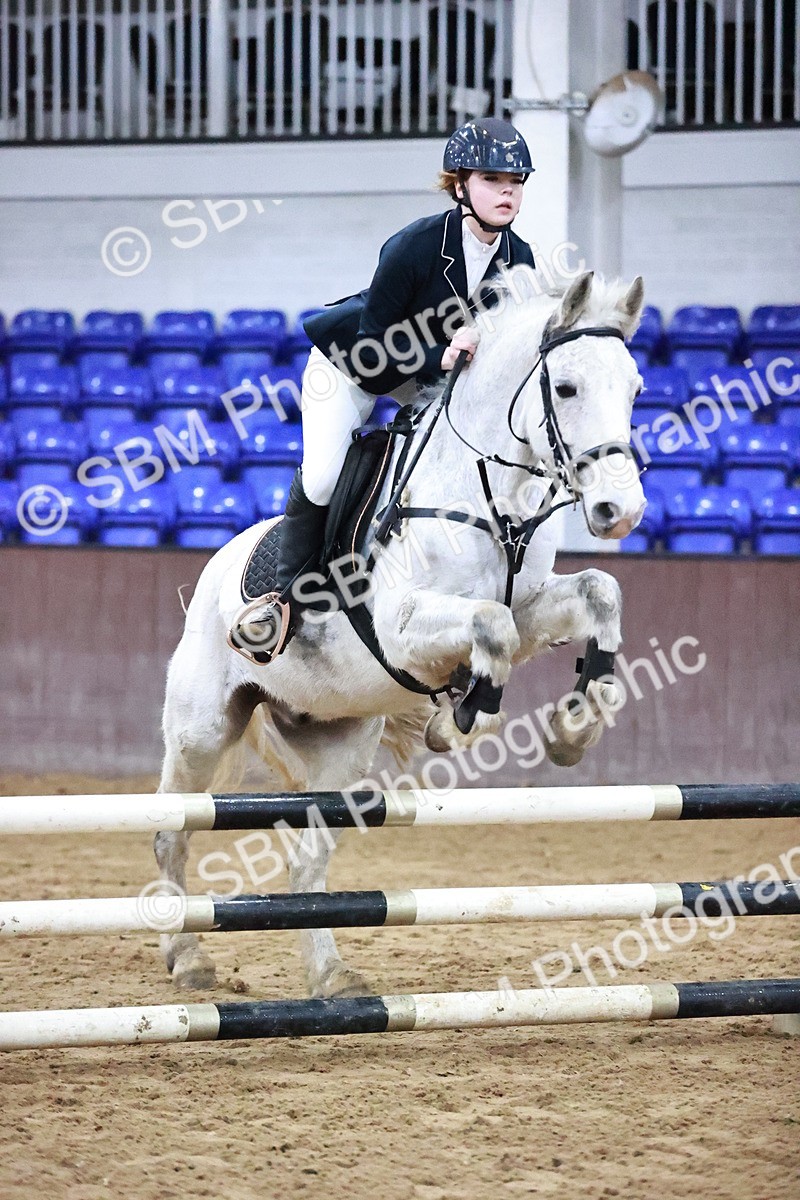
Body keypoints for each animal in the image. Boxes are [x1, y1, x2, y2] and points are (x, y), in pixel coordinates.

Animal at [155, 268, 647, 996]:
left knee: (306, 863)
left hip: (340, 748)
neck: (488, 496)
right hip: (201, 728)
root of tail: (214, 572)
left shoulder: (530, 607)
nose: (622, 510)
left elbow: (593, 593)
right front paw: (463, 720)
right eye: (566, 388)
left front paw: (572, 727)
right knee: (175, 830)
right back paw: (187, 956)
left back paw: (331, 975)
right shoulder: (400, 627)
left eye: (635, 388)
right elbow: (492, 628)